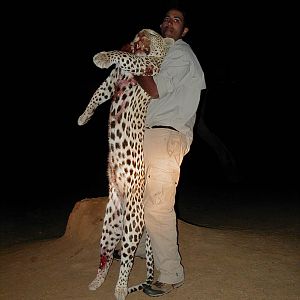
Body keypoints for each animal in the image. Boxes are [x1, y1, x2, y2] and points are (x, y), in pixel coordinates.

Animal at [78, 28, 173, 300]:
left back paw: (120, 288)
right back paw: (97, 282)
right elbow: (97, 94)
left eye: (156, 33)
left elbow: (123, 56)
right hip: (109, 226)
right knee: (107, 256)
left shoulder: (147, 67)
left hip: (133, 222)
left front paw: (102, 56)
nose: (144, 31)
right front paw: (83, 117)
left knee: (128, 258)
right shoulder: (113, 80)